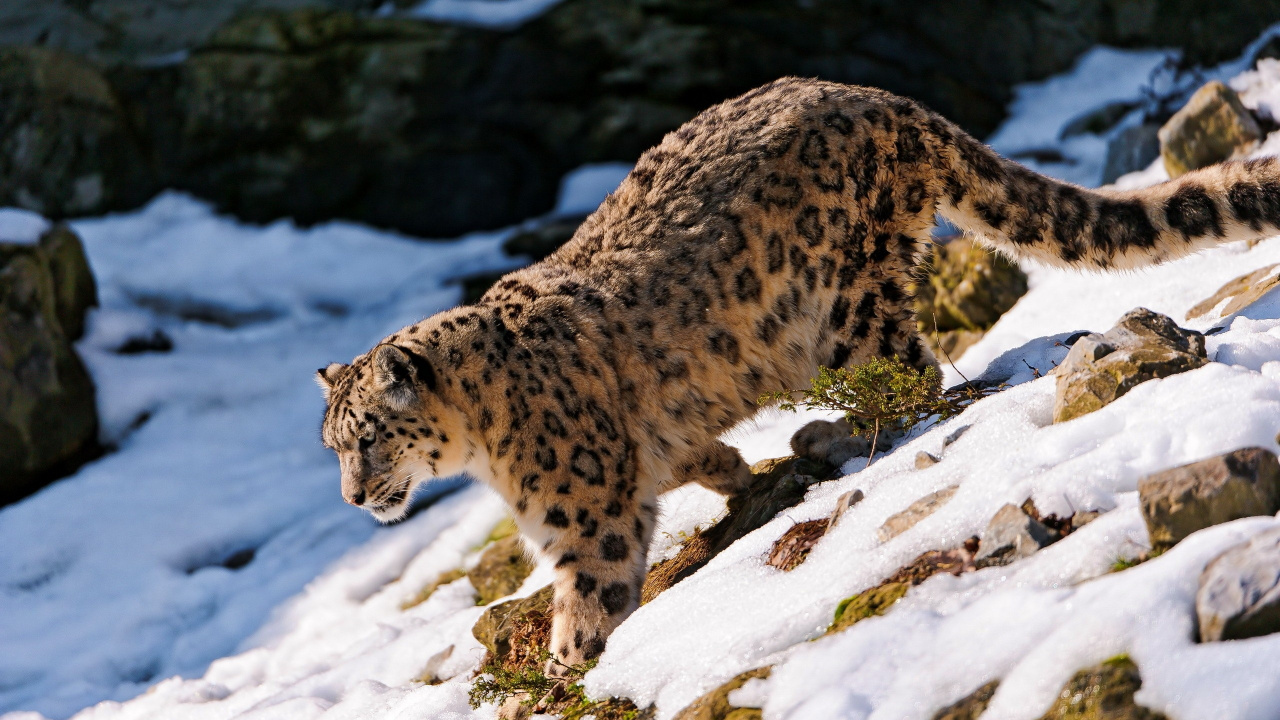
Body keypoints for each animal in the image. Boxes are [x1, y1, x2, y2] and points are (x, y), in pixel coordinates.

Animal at [318, 77, 1280, 672]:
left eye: (370, 438)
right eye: (334, 447)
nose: (354, 499)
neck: (483, 445)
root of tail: (883, 99)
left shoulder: (584, 516)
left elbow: (591, 592)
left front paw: (569, 665)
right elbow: (688, 453)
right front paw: (729, 471)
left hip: (849, 306)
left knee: (912, 378)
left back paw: (829, 431)